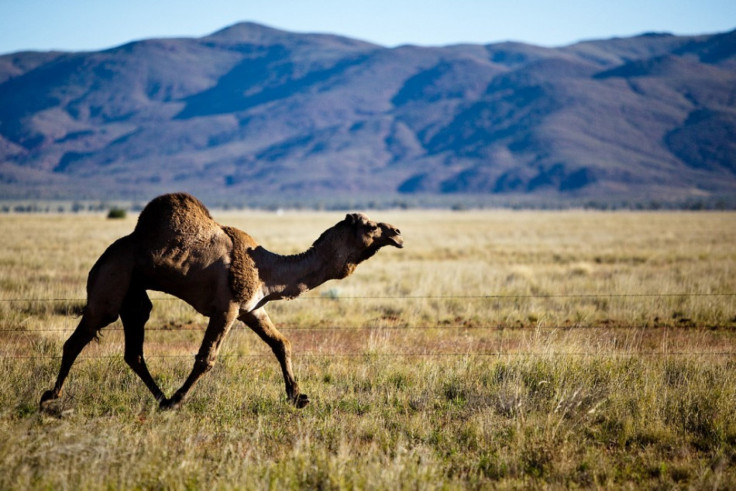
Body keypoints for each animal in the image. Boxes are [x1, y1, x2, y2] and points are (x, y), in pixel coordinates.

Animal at [40, 192, 402, 412]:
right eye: (371, 226)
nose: (397, 232)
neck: (267, 268)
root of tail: (102, 258)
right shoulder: (226, 308)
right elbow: (206, 358)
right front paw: (179, 401)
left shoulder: (252, 308)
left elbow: (281, 343)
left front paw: (298, 396)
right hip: (110, 282)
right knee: (78, 338)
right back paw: (50, 397)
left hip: (134, 295)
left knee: (134, 350)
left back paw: (159, 397)